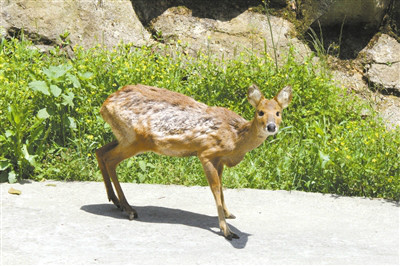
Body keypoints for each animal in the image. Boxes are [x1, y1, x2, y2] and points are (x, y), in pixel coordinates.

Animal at [95, 82, 292, 239]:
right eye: (260, 112)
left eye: (278, 112)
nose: (271, 126)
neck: (236, 138)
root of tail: (104, 105)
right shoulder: (206, 153)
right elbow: (215, 188)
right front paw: (226, 231)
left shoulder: (219, 160)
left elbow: (222, 187)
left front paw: (228, 214)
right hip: (135, 140)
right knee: (110, 159)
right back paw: (128, 208)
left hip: (123, 138)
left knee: (100, 151)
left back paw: (116, 201)